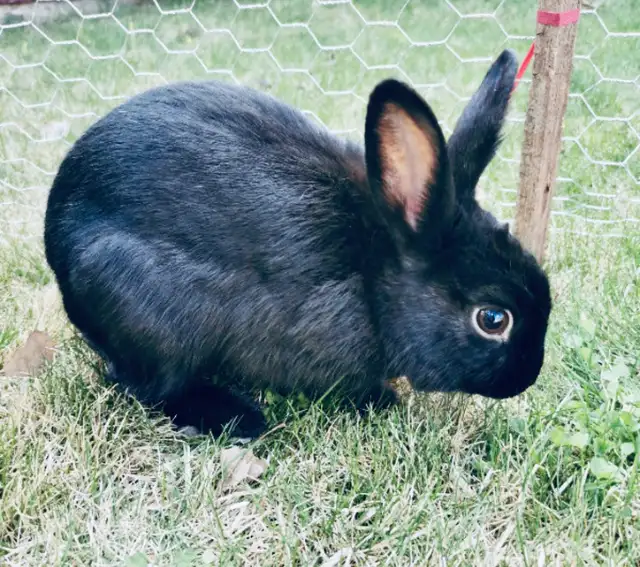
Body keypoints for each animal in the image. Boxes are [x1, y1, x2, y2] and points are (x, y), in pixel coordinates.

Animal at [44, 48, 552, 438]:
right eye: (492, 319)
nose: (525, 379)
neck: (371, 280)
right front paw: (382, 400)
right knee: (148, 385)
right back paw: (234, 418)